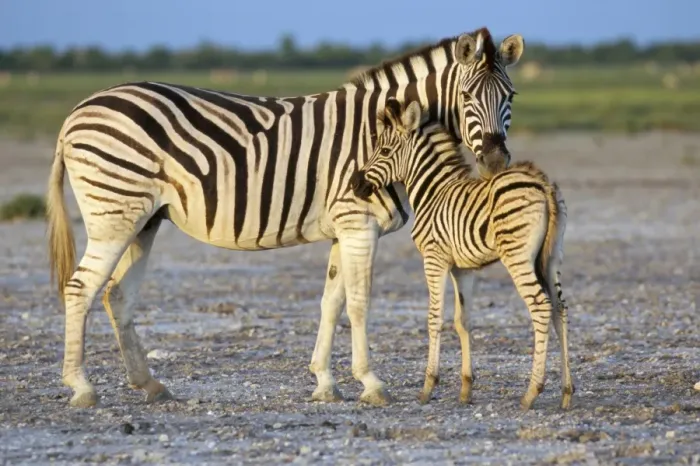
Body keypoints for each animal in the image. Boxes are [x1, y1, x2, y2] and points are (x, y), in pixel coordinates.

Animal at [46, 27, 525, 408]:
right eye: (466, 97)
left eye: (510, 97)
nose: (496, 162)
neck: (381, 132)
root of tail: (76, 112)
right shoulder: (359, 224)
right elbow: (359, 301)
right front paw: (371, 383)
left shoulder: (342, 229)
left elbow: (331, 302)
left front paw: (325, 382)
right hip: (114, 215)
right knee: (80, 288)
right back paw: (82, 387)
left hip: (143, 220)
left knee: (116, 294)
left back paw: (149, 385)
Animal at [350, 98, 573, 410]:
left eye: (383, 151)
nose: (354, 185)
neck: (432, 192)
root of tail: (542, 183)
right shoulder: (463, 268)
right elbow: (462, 320)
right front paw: (466, 388)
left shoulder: (434, 259)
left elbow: (434, 317)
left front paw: (428, 386)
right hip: (552, 258)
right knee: (559, 308)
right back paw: (566, 392)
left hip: (517, 256)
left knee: (540, 306)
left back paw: (532, 392)